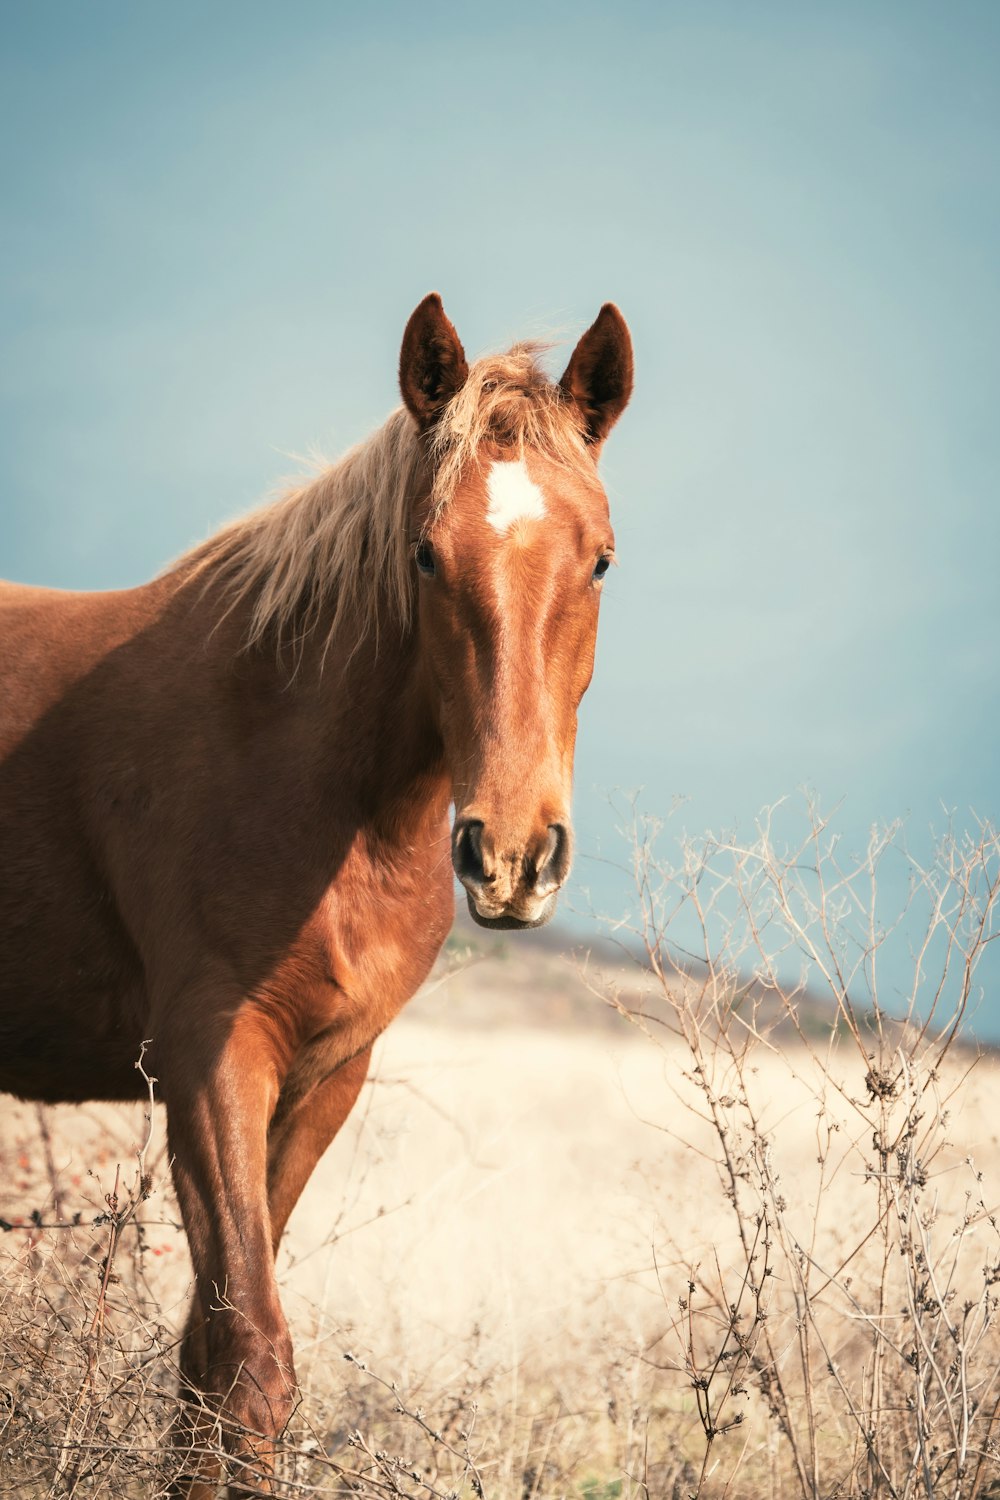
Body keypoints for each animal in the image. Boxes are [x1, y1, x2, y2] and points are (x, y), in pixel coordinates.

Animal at [0, 289, 632, 1488]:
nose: (511, 855)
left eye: (602, 561)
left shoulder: (325, 1074)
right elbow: (249, 1356)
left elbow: (205, 1362)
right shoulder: (212, 1058)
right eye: (424, 555)